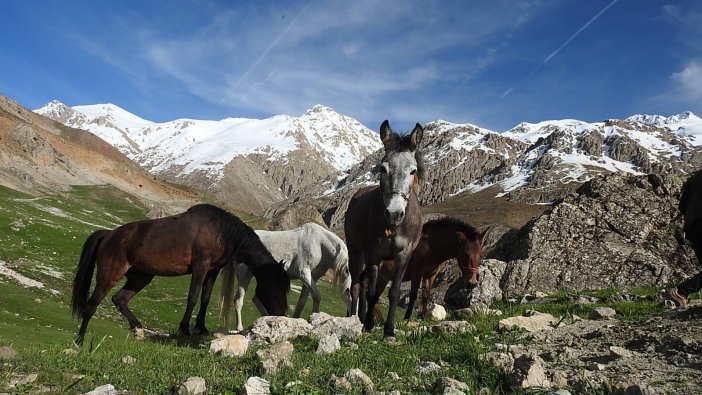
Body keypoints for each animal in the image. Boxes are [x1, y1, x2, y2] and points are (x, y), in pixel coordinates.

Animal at [70, 204, 290, 346]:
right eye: (276, 285)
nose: (281, 314)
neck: (221, 231)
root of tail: (108, 235)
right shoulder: (201, 266)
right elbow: (193, 297)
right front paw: (184, 329)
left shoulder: (212, 271)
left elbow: (205, 299)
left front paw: (201, 327)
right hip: (109, 275)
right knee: (91, 305)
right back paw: (80, 340)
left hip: (140, 277)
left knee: (120, 299)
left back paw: (138, 328)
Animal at [220, 223, 352, 332]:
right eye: (348, 291)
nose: (351, 314)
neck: (319, 243)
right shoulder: (304, 273)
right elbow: (317, 296)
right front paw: (314, 317)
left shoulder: (311, 279)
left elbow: (302, 302)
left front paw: (297, 320)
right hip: (244, 276)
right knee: (238, 300)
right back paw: (239, 328)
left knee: (255, 298)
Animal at [346, 120, 424, 338]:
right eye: (383, 168)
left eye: (413, 171)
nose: (394, 214)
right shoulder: (374, 254)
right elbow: (372, 292)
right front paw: (370, 323)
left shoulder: (403, 254)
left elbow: (394, 292)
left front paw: (389, 329)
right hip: (356, 251)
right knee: (357, 285)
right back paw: (355, 319)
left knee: (363, 282)